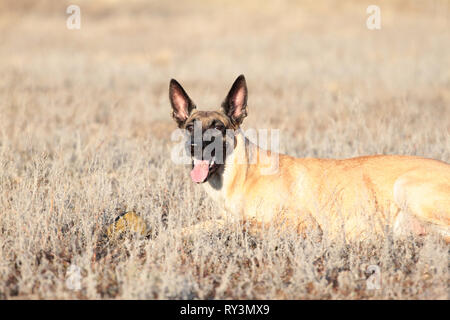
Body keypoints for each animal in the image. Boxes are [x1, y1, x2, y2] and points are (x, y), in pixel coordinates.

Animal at [169, 74, 450, 240]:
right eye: (190, 127)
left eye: (218, 127)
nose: (195, 147)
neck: (242, 174)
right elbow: (199, 226)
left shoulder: (303, 225)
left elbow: (240, 224)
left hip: (405, 188)